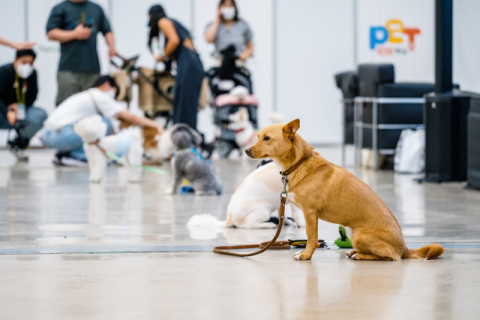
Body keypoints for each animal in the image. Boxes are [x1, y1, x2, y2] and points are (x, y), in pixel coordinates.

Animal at [246, 119, 444, 262]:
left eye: (266, 138)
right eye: (257, 136)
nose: (246, 150)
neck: (299, 163)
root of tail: (405, 248)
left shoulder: (310, 214)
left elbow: (311, 238)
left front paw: (306, 255)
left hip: (359, 236)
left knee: (392, 257)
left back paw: (361, 255)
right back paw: (355, 252)